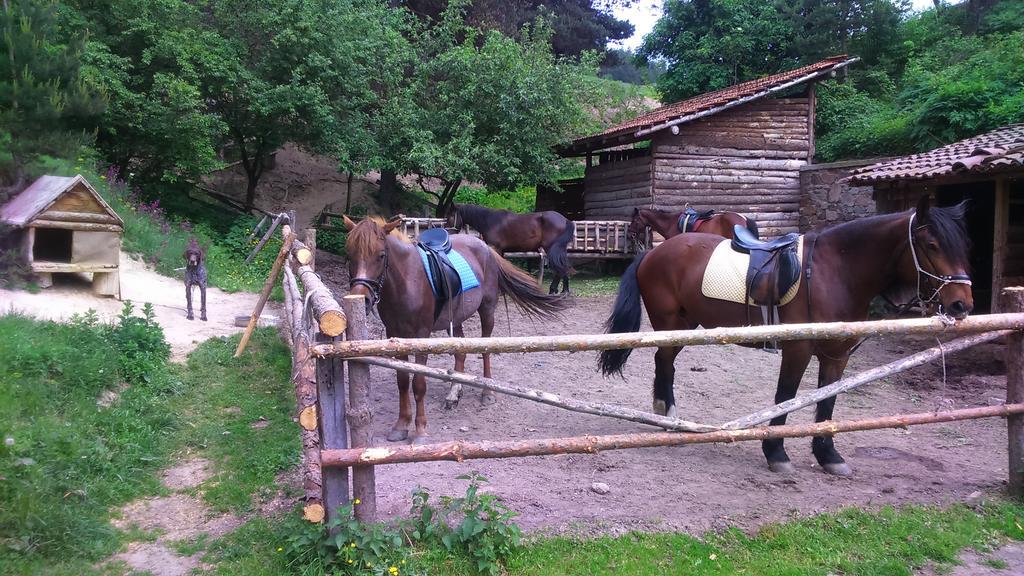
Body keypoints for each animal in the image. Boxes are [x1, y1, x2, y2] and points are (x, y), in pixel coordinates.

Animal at [344, 215, 569, 444]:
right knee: (460, 352)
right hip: (457, 316)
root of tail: (487, 249)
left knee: (485, 350)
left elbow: (418, 384)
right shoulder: (395, 335)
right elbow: (402, 382)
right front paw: (401, 426)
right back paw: (454, 394)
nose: (362, 299)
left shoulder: (422, 336)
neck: (407, 281)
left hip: (487, 310)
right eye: (349, 256)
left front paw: (421, 431)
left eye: (381, 256)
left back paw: (487, 393)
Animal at [602, 196, 970, 475]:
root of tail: (653, 253)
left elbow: (827, 401)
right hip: (672, 323)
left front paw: (828, 456)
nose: (962, 304)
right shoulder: (798, 349)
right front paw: (776, 453)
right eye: (932, 244)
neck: (834, 272)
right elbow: (786, 396)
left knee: (664, 361)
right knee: (663, 360)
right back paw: (668, 415)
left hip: (687, 325)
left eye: (963, 245)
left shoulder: (837, 354)